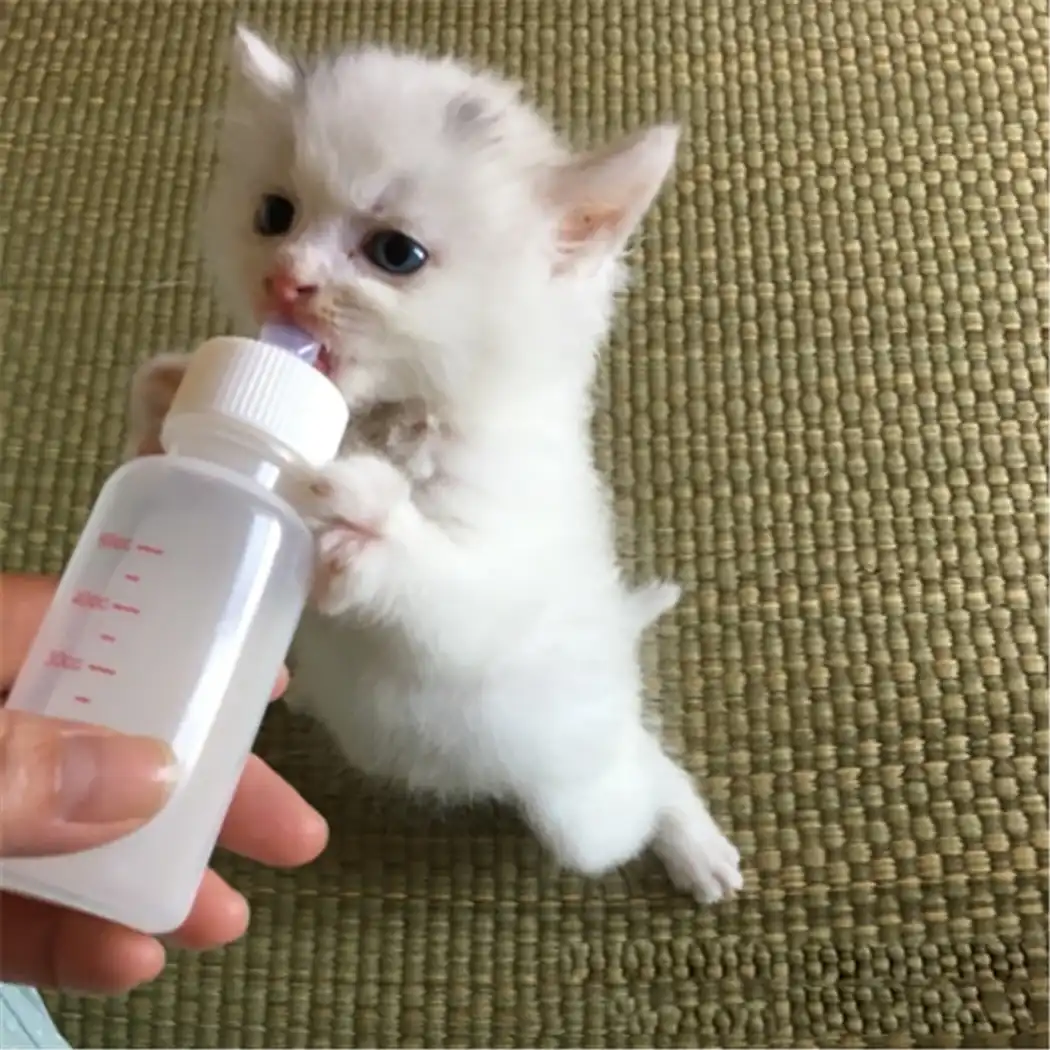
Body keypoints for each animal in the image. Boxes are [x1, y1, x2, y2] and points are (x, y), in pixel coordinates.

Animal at [127, 26, 743, 902]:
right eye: (273, 215)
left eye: (396, 253)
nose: (286, 280)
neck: (380, 422)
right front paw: (167, 396)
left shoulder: (507, 577)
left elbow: (459, 602)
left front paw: (373, 525)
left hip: (584, 808)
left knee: (645, 778)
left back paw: (692, 843)